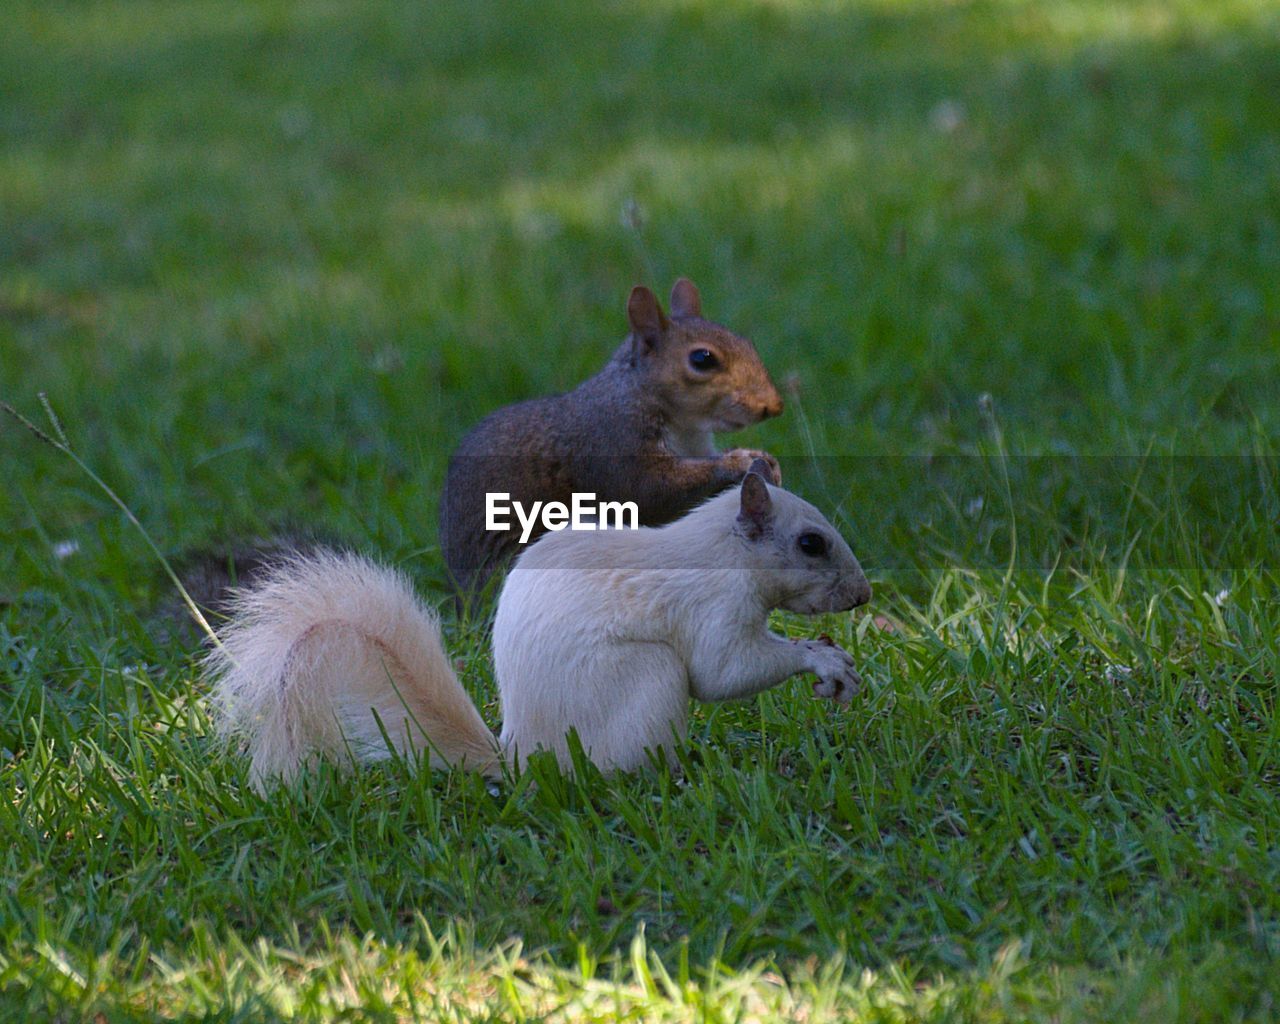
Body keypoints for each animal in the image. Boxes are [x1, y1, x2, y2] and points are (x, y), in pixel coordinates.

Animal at [207, 463, 870, 793]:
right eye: (811, 544)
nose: (863, 595)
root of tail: (523, 757)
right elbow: (723, 672)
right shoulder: (714, 609)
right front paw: (821, 659)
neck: (721, 553)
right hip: (647, 678)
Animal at [437, 280, 778, 599]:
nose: (773, 406)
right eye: (702, 358)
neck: (683, 423)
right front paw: (737, 461)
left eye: (747, 343)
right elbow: (651, 493)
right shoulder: (613, 442)